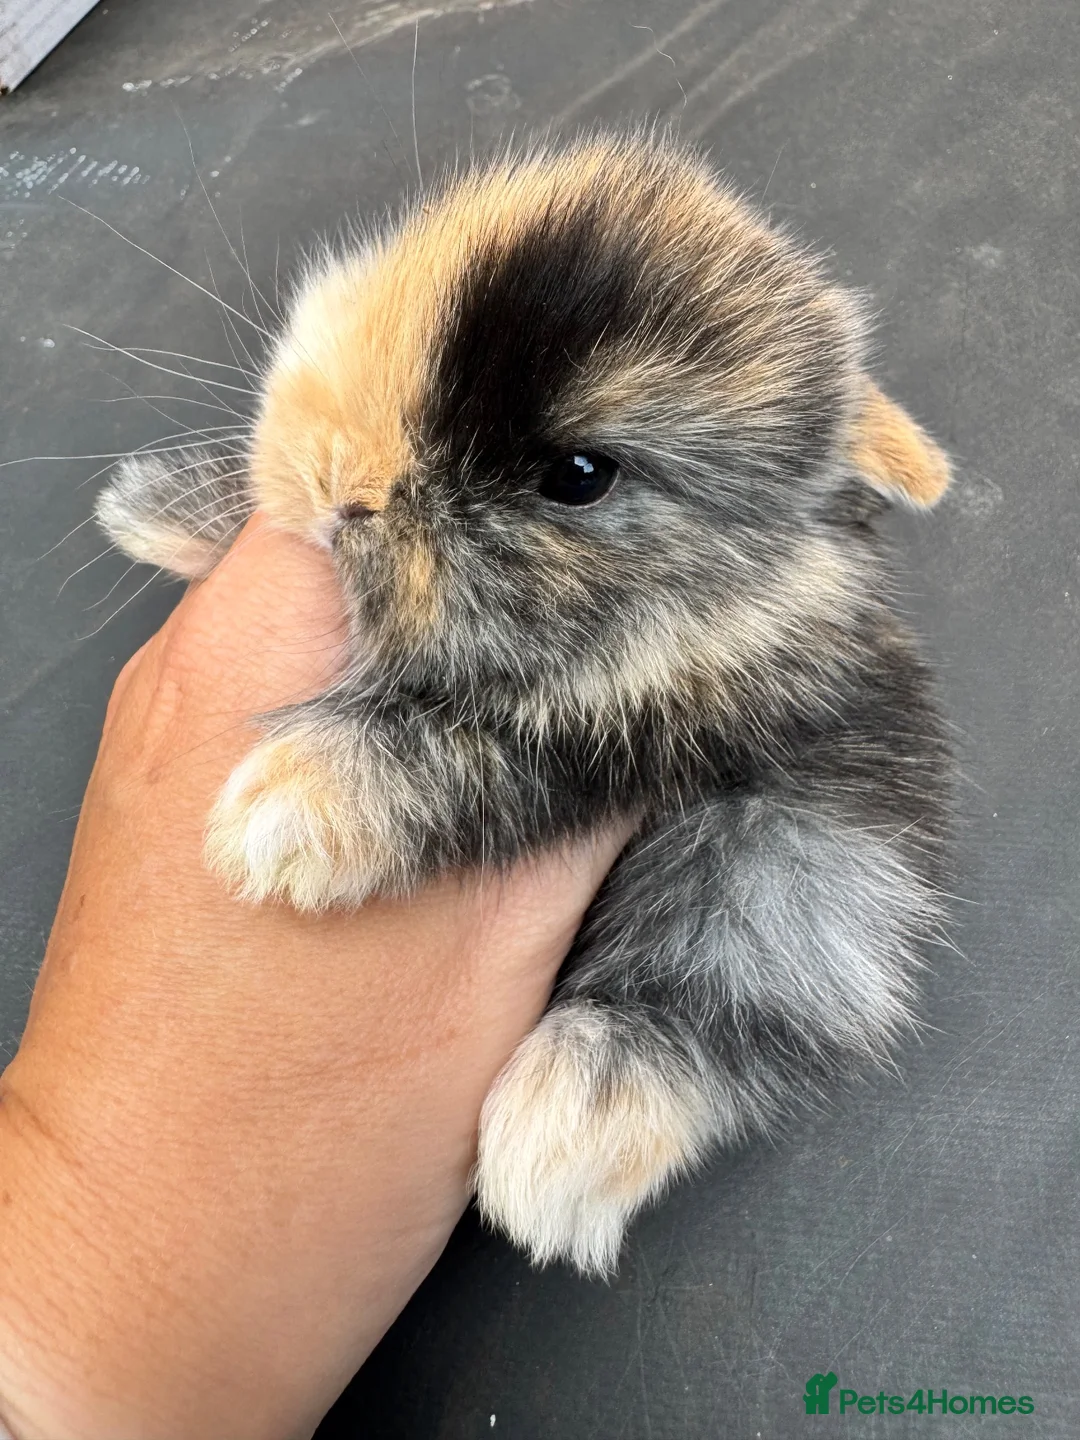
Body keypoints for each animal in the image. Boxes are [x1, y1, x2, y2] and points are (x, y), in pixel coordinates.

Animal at [95, 131, 952, 1278]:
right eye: (407, 272)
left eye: (579, 475)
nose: (340, 487)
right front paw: (153, 505)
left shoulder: (643, 730)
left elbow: (474, 744)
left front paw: (284, 814)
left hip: (799, 856)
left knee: (713, 992)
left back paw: (562, 1143)